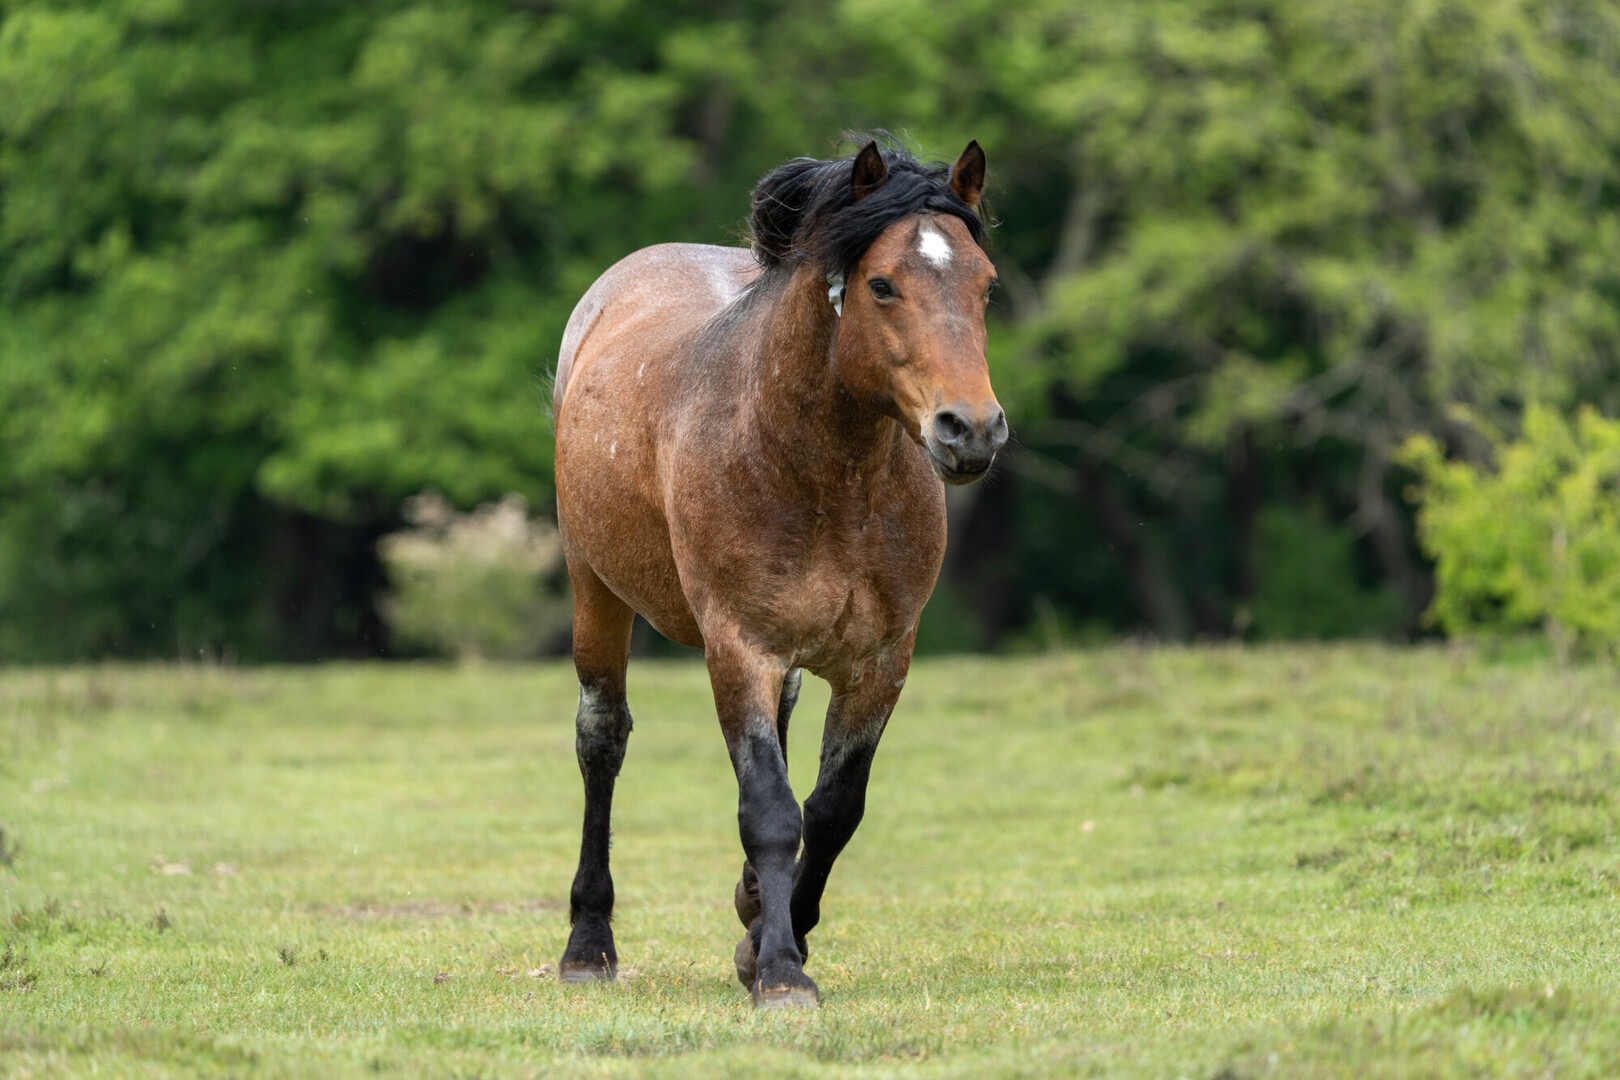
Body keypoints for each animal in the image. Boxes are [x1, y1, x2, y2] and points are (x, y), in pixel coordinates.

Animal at [550, 138, 1006, 1008]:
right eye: (882, 284)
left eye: (986, 284)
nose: (970, 430)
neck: (823, 475)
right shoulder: (739, 647)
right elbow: (768, 806)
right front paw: (782, 973)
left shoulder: (881, 661)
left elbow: (831, 809)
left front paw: (771, 930)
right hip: (595, 590)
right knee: (601, 741)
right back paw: (588, 945)